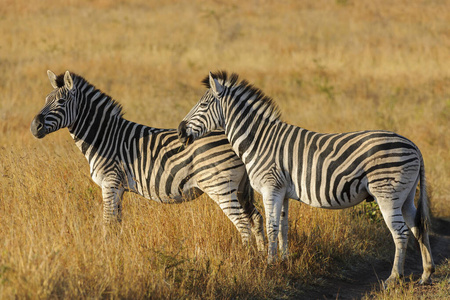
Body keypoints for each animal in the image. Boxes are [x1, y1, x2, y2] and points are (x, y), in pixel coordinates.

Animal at [30, 70, 264, 251]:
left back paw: (246, 259)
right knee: (256, 218)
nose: (34, 127)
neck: (104, 137)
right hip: (240, 187)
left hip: (219, 186)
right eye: (45, 99)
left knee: (243, 223)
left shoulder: (110, 183)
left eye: (60, 101)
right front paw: (117, 252)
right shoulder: (118, 188)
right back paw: (262, 259)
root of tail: (234, 137)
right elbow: (117, 223)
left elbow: (107, 223)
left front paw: (106, 254)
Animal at [178, 71, 436, 286]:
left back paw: (393, 278)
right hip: (405, 196)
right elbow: (283, 227)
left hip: (387, 193)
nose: (180, 131)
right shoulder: (282, 191)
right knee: (417, 227)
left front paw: (270, 264)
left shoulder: (271, 188)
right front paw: (284, 261)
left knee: (400, 233)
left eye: (203, 104)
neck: (259, 141)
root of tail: (414, 146)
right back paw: (426, 274)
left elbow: (271, 227)